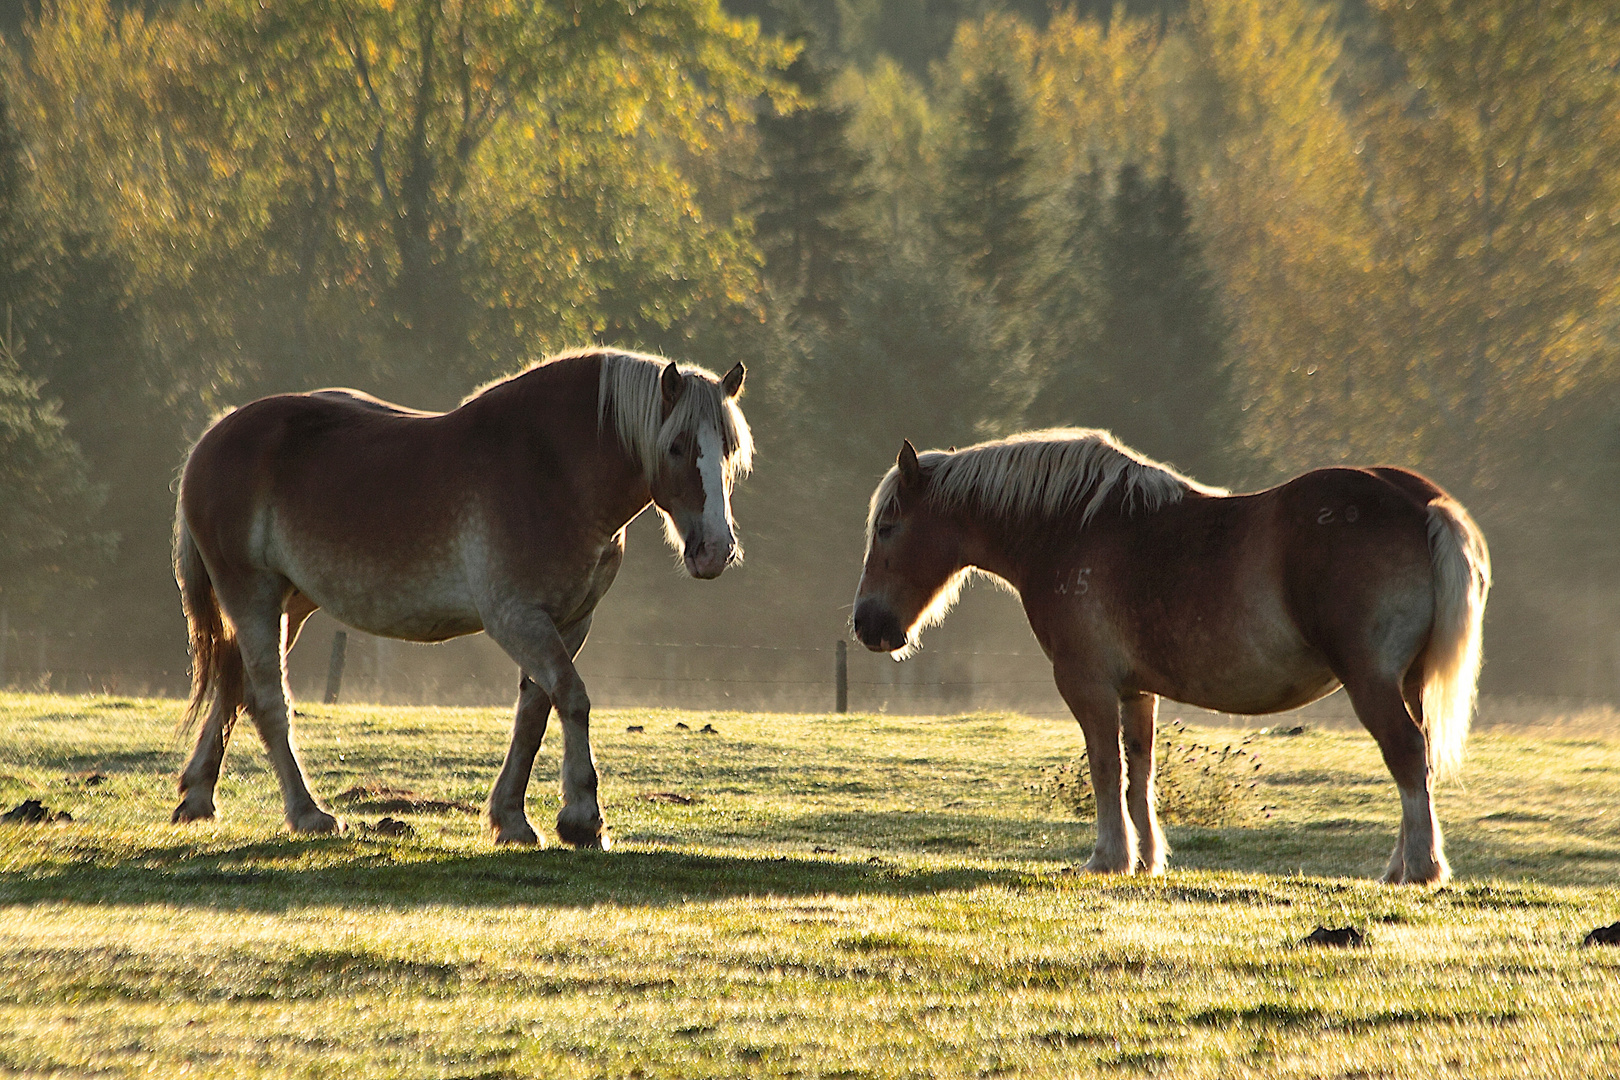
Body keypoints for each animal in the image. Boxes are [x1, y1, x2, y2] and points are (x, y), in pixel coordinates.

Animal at [170, 351, 751, 848]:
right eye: (676, 446)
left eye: (729, 449)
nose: (715, 551)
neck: (552, 469)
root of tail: (212, 437)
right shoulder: (516, 618)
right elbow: (572, 698)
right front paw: (583, 819)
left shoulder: (570, 622)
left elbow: (535, 712)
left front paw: (512, 819)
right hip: (252, 594)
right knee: (267, 699)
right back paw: (308, 814)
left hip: (290, 604)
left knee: (234, 685)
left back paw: (197, 798)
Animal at [855, 430, 1483, 887]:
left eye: (887, 528)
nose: (867, 625)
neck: (1070, 528)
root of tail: (1422, 502)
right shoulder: (1137, 690)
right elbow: (1140, 771)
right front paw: (1146, 858)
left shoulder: (1087, 684)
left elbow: (1105, 768)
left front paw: (1108, 858)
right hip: (1408, 682)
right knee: (1420, 758)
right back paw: (1405, 863)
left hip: (1371, 681)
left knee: (1405, 754)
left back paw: (1420, 870)